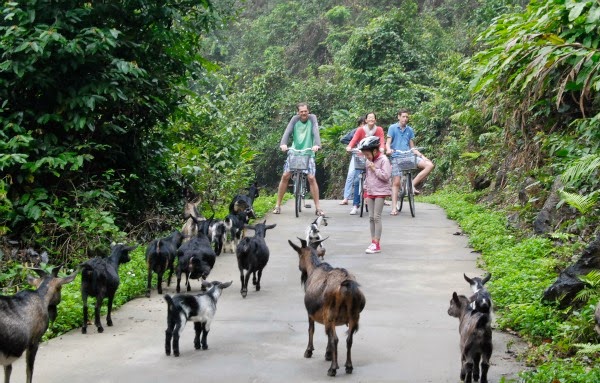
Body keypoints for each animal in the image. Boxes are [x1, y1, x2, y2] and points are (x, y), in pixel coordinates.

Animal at [288, 238, 366, 376]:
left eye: (299, 255)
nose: (300, 268)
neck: (314, 268)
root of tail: (346, 286)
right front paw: (328, 354)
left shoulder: (311, 313)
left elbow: (311, 329)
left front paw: (309, 351)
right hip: (354, 316)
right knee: (349, 339)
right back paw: (348, 366)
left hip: (331, 314)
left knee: (335, 339)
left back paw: (332, 369)